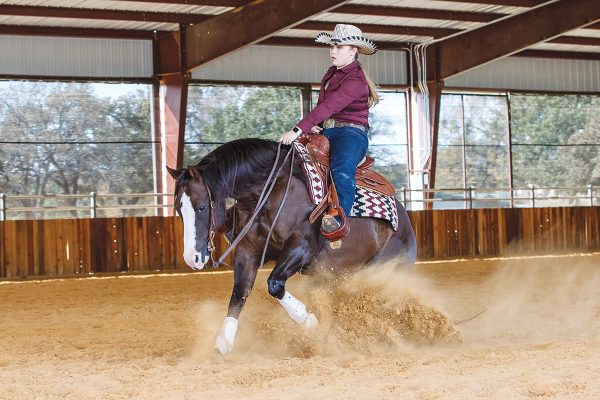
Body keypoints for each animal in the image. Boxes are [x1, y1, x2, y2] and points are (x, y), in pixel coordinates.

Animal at [166, 138, 414, 354]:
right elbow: (239, 292)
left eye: (201, 208)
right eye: (179, 209)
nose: (192, 258)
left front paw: (309, 322)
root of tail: (405, 221)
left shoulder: (300, 248)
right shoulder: (247, 252)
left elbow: (274, 285)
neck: (269, 191)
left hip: (384, 270)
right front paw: (223, 342)